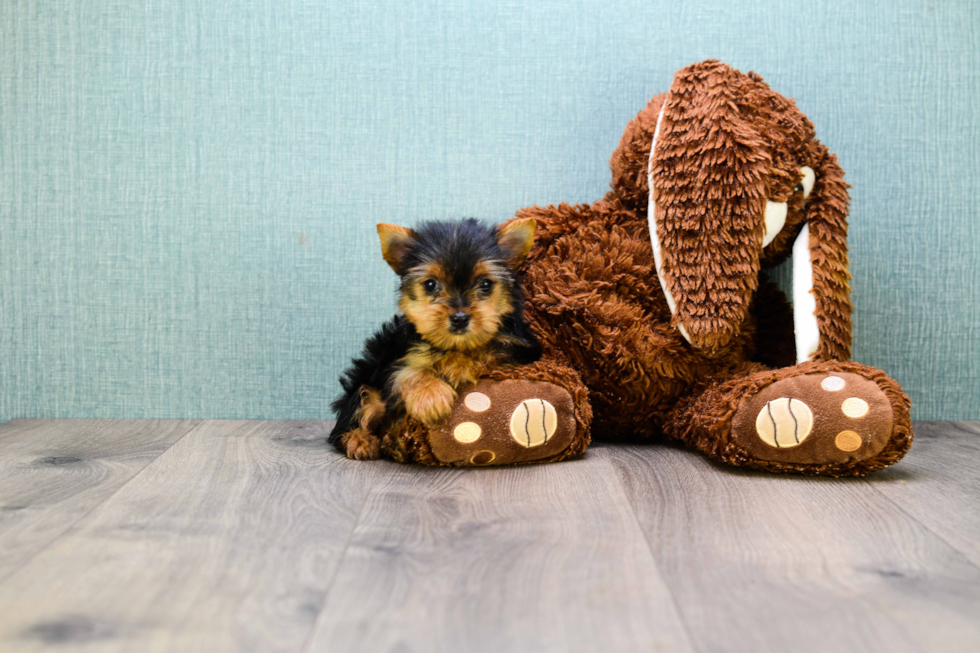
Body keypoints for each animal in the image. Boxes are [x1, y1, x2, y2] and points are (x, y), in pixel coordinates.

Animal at [332, 218, 544, 458]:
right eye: (431, 284)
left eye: (486, 284)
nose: (459, 318)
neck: (455, 344)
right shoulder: (400, 355)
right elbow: (406, 373)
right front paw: (431, 397)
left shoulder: (522, 349)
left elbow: (493, 348)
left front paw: (458, 365)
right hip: (366, 382)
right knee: (356, 410)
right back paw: (359, 440)